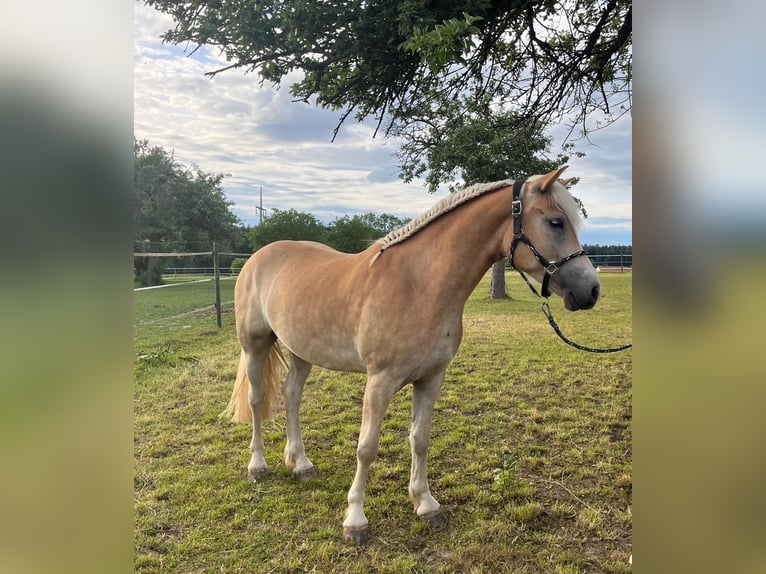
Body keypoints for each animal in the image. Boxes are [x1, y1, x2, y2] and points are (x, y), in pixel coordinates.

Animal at [225, 166, 600, 544]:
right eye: (556, 222)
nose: (591, 290)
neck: (420, 285)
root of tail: (259, 256)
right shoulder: (380, 381)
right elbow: (367, 448)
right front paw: (355, 520)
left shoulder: (431, 378)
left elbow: (420, 439)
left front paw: (426, 504)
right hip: (254, 344)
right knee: (257, 399)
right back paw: (258, 466)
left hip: (301, 351)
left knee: (291, 396)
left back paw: (300, 464)